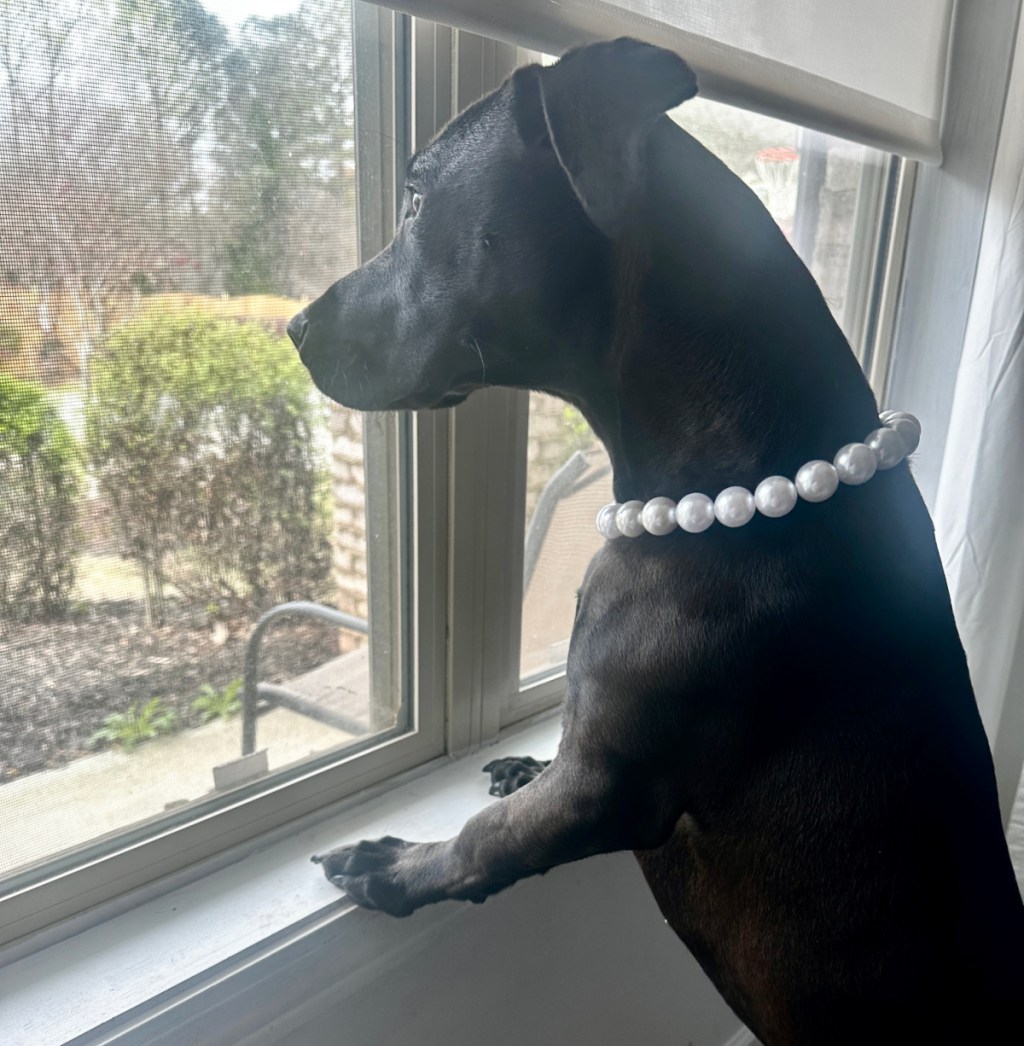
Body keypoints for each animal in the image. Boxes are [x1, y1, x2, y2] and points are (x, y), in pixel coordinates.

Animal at [290, 36, 1024, 1041]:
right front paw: (521, 763)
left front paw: (395, 867)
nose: (294, 326)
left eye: (412, 201)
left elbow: (485, 845)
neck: (746, 490)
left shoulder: (606, 788)